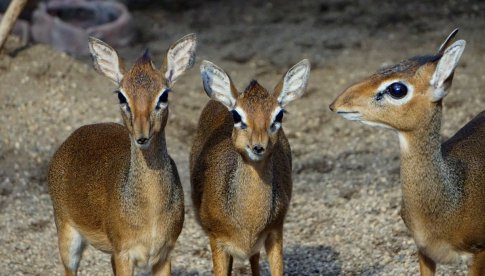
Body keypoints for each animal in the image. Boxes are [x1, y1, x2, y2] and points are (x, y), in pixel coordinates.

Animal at [46, 33, 195, 274]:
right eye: (121, 96)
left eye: (164, 95)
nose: (142, 136)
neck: (151, 214)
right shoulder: (123, 253)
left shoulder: (164, 255)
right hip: (67, 235)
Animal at [189, 59, 310, 274]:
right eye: (237, 116)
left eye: (279, 115)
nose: (258, 146)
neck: (249, 224)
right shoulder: (216, 240)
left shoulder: (275, 232)